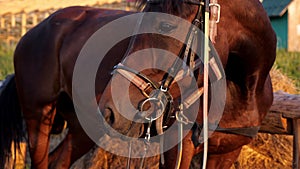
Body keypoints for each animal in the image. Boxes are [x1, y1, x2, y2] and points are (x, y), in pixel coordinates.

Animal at [0, 0, 276, 169]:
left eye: (166, 24)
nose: (110, 109)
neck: (241, 88)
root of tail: (36, 30)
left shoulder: (227, 153)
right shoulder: (178, 150)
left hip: (82, 127)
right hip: (38, 118)